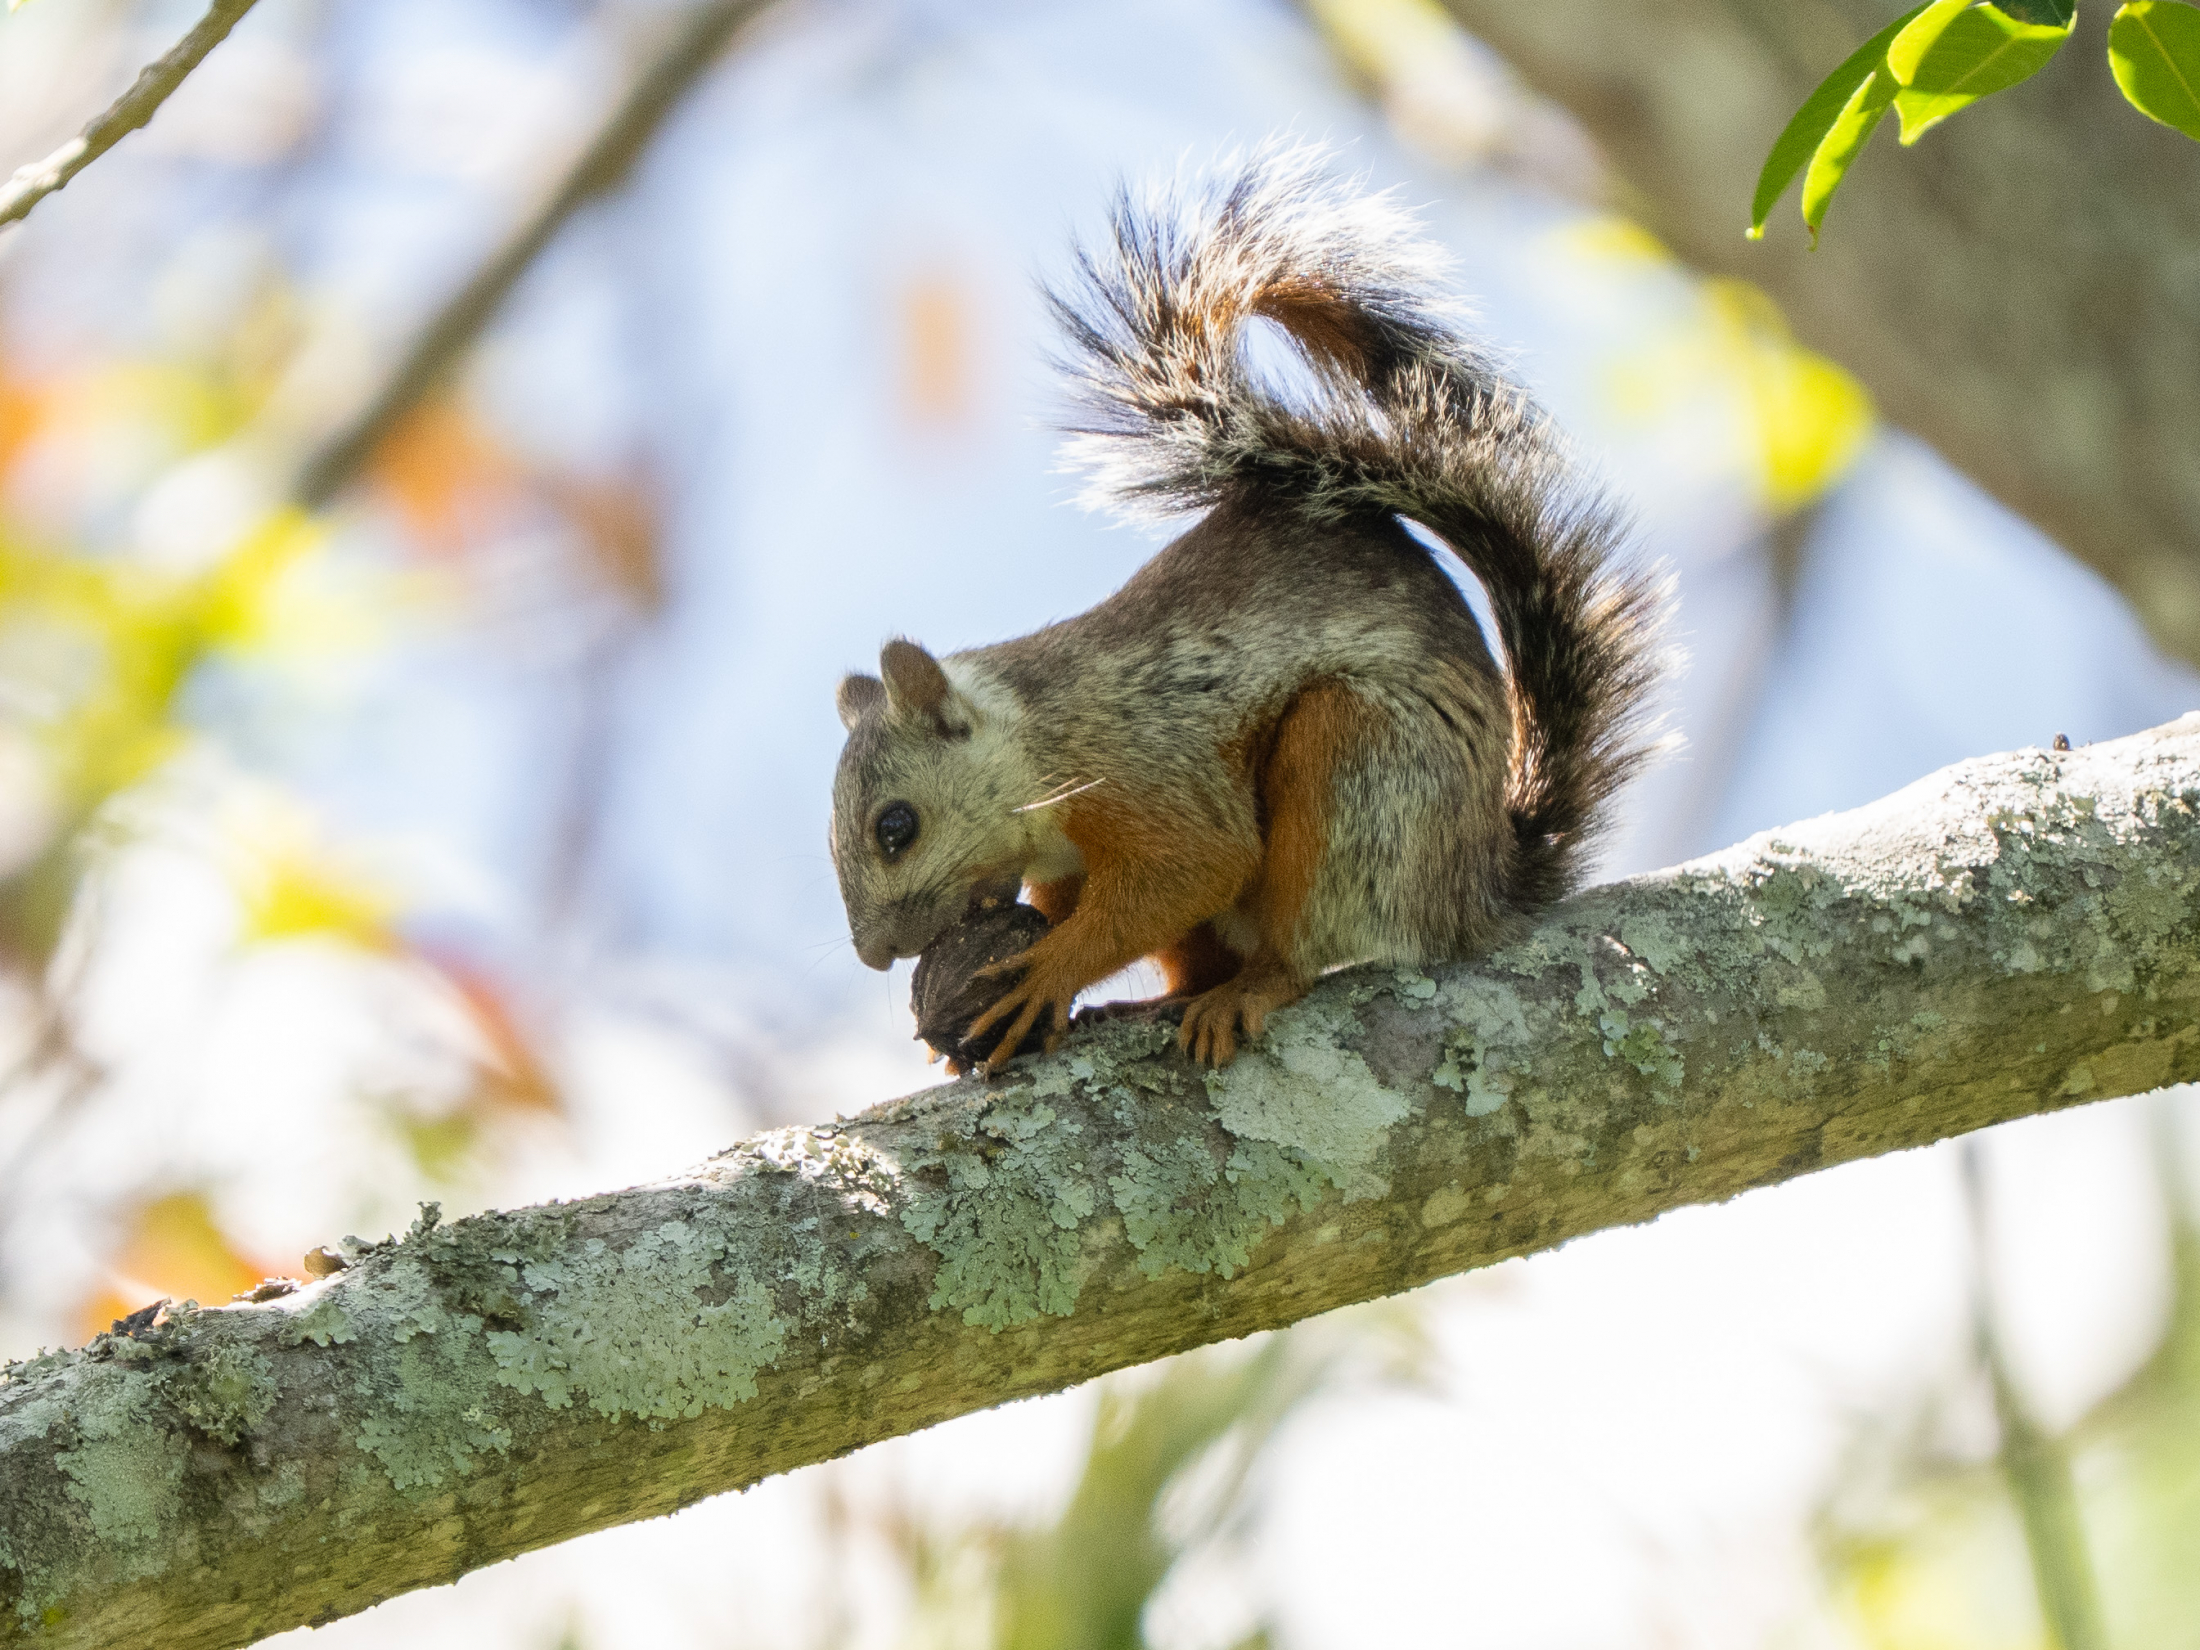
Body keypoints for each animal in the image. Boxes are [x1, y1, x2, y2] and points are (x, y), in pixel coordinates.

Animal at [830, 146, 1666, 1071]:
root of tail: (1478, 887)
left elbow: (1196, 866)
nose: (875, 955)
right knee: (1201, 956)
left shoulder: (1146, 765)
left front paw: (1049, 969)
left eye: (896, 827)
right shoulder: (1069, 855)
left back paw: (1253, 987)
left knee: (1302, 940)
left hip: (1362, 767)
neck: (1035, 740)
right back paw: (1164, 998)